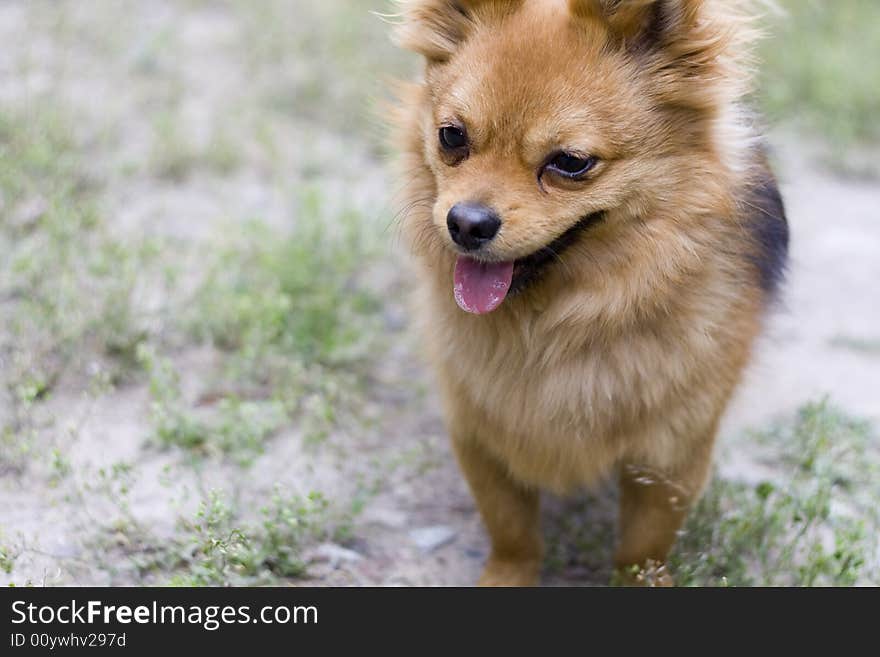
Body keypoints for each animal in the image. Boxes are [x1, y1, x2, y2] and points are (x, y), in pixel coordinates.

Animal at [388, 0, 788, 584]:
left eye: (571, 163)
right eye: (452, 137)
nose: (465, 222)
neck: (557, 324)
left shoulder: (670, 456)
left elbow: (641, 550)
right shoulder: (477, 430)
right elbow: (511, 530)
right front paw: (508, 575)